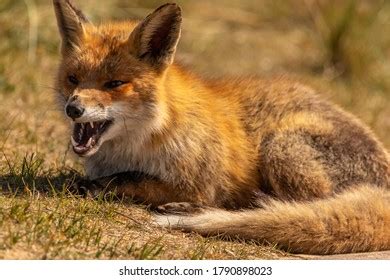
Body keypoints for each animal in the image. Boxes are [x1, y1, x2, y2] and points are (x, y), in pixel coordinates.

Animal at [53, 0, 388, 255]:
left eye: (114, 84)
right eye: (73, 79)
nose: (74, 109)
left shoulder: (201, 184)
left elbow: (128, 179)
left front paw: (92, 185)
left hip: (281, 147)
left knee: (302, 205)